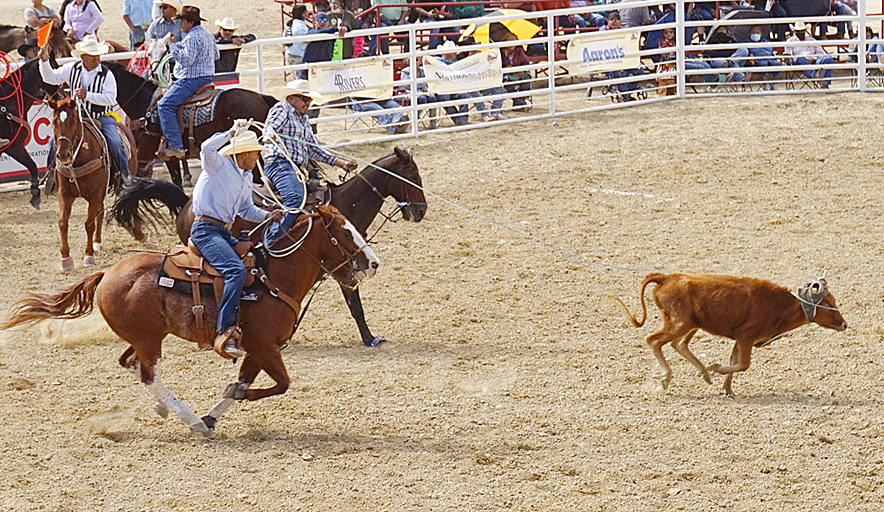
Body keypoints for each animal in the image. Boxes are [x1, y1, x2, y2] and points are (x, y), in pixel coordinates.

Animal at [3, 204, 384, 436]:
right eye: (345, 232)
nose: (373, 263)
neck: (273, 277)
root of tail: (108, 272)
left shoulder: (258, 350)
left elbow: (247, 382)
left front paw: (214, 413)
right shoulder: (264, 346)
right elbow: (280, 384)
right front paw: (219, 407)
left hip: (143, 337)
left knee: (131, 364)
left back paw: (167, 409)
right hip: (149, 339)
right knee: (149, 374)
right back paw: (186, 417)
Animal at [49, 97, 140, 270]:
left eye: (73, 120)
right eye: (54, 121)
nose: (63, 155)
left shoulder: (94, 194)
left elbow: (89, 223)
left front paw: (89, 256)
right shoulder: (65, 193)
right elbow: (63, 222)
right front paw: (66, 259)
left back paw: (139, 233)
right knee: (101, 212)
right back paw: (97, 243)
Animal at [110, 148, 428, 348]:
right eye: (412, 176)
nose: (421, 211)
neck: (343, 202)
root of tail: (188, 203)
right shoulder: (342, 271)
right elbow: (356, 306)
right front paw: (369, 338)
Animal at [612, 272, 848, 396]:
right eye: (828, 305)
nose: (844, 324)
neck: (779, 305)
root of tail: (667, 278)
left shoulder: (740, 339)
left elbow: (735, 361)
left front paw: (726, 387)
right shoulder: (746, 335)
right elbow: (743, 364)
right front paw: (716, 368)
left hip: (688, 324)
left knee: (677, 345)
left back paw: (703, 373)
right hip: (680, 323)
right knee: (653, 340)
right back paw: (669, 377)